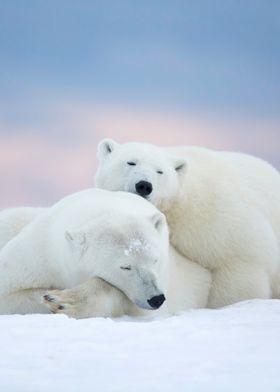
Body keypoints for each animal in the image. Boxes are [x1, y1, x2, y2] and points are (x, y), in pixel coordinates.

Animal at [0, 188, 211, 316]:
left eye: (155, 260)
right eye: (125, 267)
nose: (156, 298)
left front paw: (65, 301)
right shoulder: (40, 251)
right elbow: (9, 293)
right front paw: (54, 297)